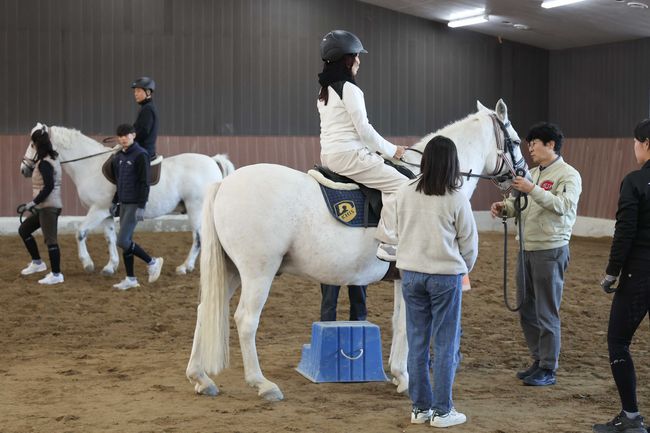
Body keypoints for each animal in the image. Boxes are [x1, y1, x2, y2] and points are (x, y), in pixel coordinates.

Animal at [21, 125, 237, 274]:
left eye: (33, 143)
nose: (24, 169)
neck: (90, 166)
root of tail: (212, 161)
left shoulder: (97, 210)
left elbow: (80, 232)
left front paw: (88, 263)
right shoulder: (106, 213)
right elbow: (110, 238)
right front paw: (111, 266)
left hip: (196, 208)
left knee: (199, 237)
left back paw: (185, 267)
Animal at [184, 99, 528, 400]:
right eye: (515, 140)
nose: (521, 178)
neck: (430, 183)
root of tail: (224, 184)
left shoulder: (404, 278)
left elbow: (401, 324)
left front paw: (400, 376)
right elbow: (409, 327)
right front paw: (407, 380)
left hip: (232, 271)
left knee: (204, 310)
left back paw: (201, 378)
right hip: (258, 272)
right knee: (245, 320)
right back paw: (263, 384)